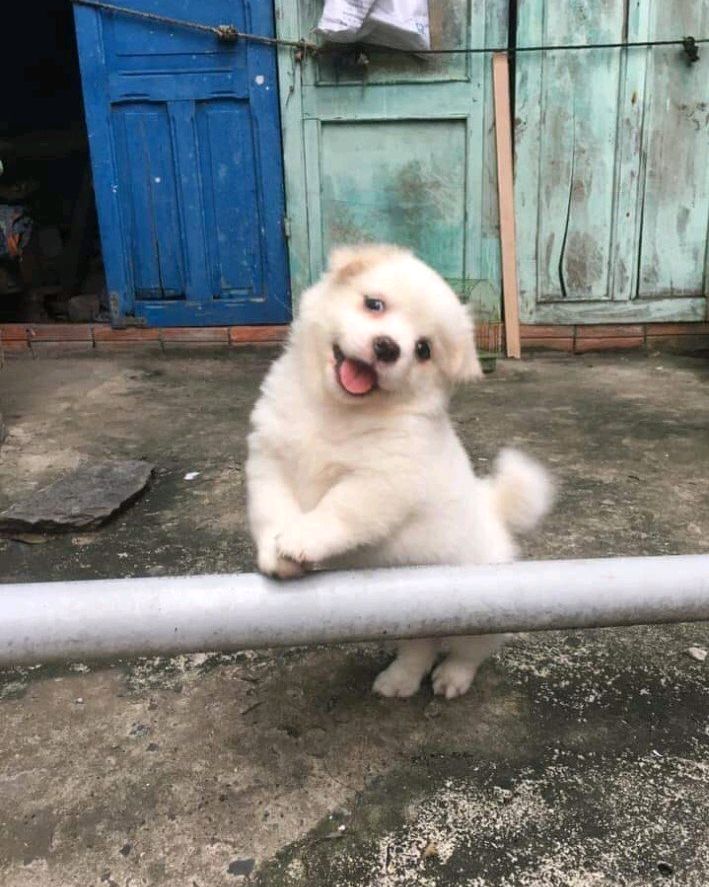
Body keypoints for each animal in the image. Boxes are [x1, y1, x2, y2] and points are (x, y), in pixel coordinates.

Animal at [245, 245, 552, 700]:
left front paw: (302, 539)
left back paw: (451, 678)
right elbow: (272, 510)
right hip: (405, 611)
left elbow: (338, 508)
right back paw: (400, 679)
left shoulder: (382, 479)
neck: (336, 412)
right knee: (419, 647)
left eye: (423, 349)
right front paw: (276, 557)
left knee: (469, 651)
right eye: (375, 304)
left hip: (479, 612)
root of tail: (492, 509)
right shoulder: (270, 459)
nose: (388, 347)